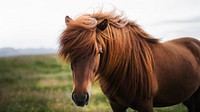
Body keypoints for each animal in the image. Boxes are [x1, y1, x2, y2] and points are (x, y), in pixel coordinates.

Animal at [58, 10, 200, 112]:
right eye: (70, 52)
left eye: (99, 51)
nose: (80, 98)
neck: (124, 70)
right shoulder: (116, 105)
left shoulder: (146, 105)